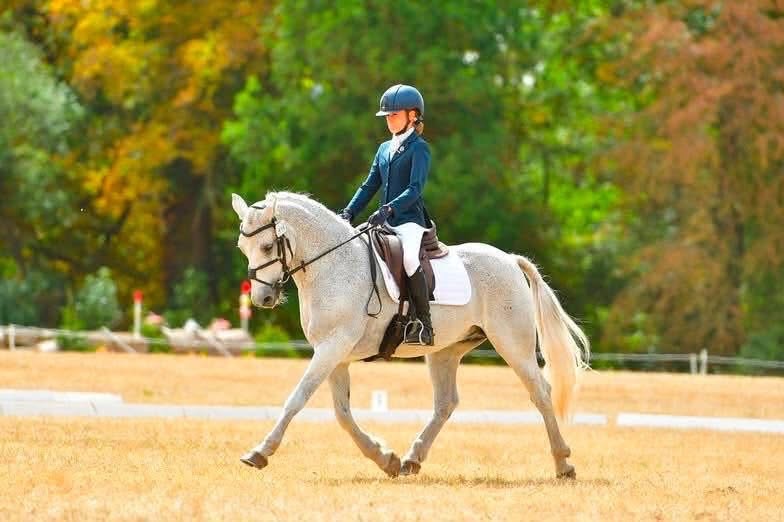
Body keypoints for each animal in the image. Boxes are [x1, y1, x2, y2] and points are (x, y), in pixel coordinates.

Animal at [231, 191, 590, 479]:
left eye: (267, 246)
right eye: (242, 247)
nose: (262, 298)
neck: (333, 265)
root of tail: (510, 260)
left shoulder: (333, 347)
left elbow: (297, 398)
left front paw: (259, 452)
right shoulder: (334, 353)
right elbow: (342, 414)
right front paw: (384, 458)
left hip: (512, 344)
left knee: (540, 393)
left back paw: (564, 464)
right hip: (446, 350)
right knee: (445, 403)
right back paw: (410, 460)